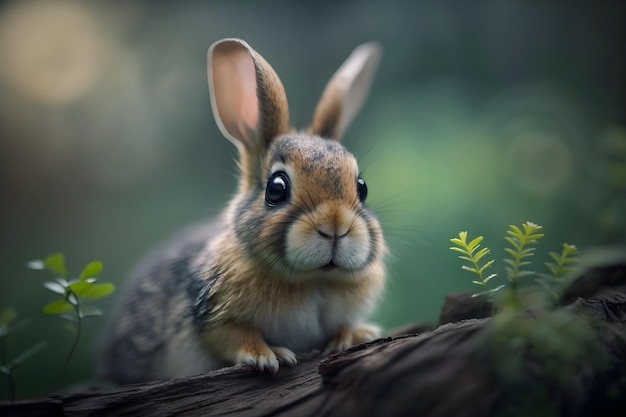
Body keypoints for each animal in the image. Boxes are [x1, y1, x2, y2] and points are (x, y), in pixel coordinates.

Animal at [97, 39, 386, 384]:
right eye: (276, 188)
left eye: (362, 187)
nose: (335, 227)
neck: (313, 279)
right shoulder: (212, 315)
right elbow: (235, 335)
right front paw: (267, 355)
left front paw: (356, 335)